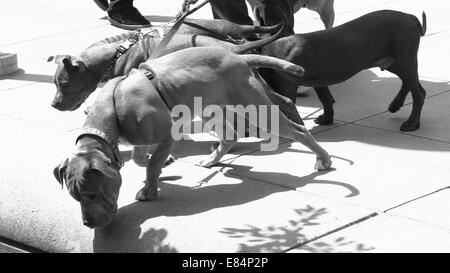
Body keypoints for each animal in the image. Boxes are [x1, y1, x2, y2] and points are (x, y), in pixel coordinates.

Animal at [53, 47, 334, 227]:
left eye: (91, 194)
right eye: (75, 197)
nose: (88, 224)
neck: (109, 111)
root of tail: (238, 56)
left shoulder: (169, 134)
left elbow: (151, 164)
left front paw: (150, 189)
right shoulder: (141, 141)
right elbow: (141, 158)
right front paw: (165, 167)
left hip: (257, 110)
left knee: (297, 131)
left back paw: (322, 159)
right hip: (213, 110)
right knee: (229, 136)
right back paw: (212, 160)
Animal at [258, 11, 428, 132]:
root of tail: (409, 17)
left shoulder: (287, 87)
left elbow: (287, 105)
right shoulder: (317, 81)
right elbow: (326, 99)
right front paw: (326, 119)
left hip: (404, 57)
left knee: (418, 93)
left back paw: (412, 123)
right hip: (394, 62)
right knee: (412, 83)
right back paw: (396, 105)